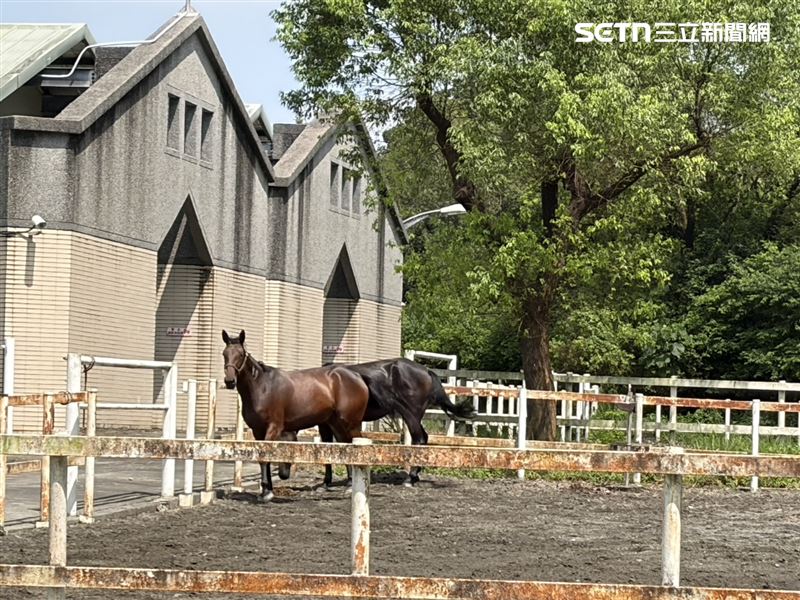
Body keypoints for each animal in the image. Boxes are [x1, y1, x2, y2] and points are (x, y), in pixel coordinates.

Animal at [221, 329, 369, 501]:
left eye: (240, 354)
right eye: (225, 354)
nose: (229, 381)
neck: (262, 387)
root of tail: (357, 377)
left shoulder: (274, 427)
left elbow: (265, 457)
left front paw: (267, 493)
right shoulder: (257, 430)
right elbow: (264, 458)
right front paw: (266, 490)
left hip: (351, 424)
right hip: (336, 424)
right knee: (344, 447)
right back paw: (349, 485)